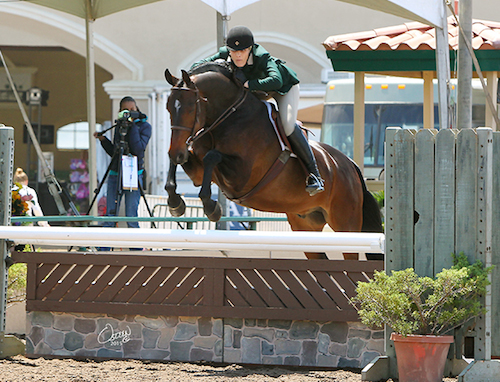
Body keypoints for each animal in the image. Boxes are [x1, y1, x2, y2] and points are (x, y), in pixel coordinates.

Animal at [163, 63, 378, 260]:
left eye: (190, 108)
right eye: (168, 107)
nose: (177, 151)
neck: (227, 117)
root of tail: (351, 165)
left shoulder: (241, 177)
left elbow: (212, 157)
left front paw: (211, 207)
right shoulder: (197, 171)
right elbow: (184, 163)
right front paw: (175, 203)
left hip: (345, 224)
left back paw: (315, 181)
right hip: (305, 224)